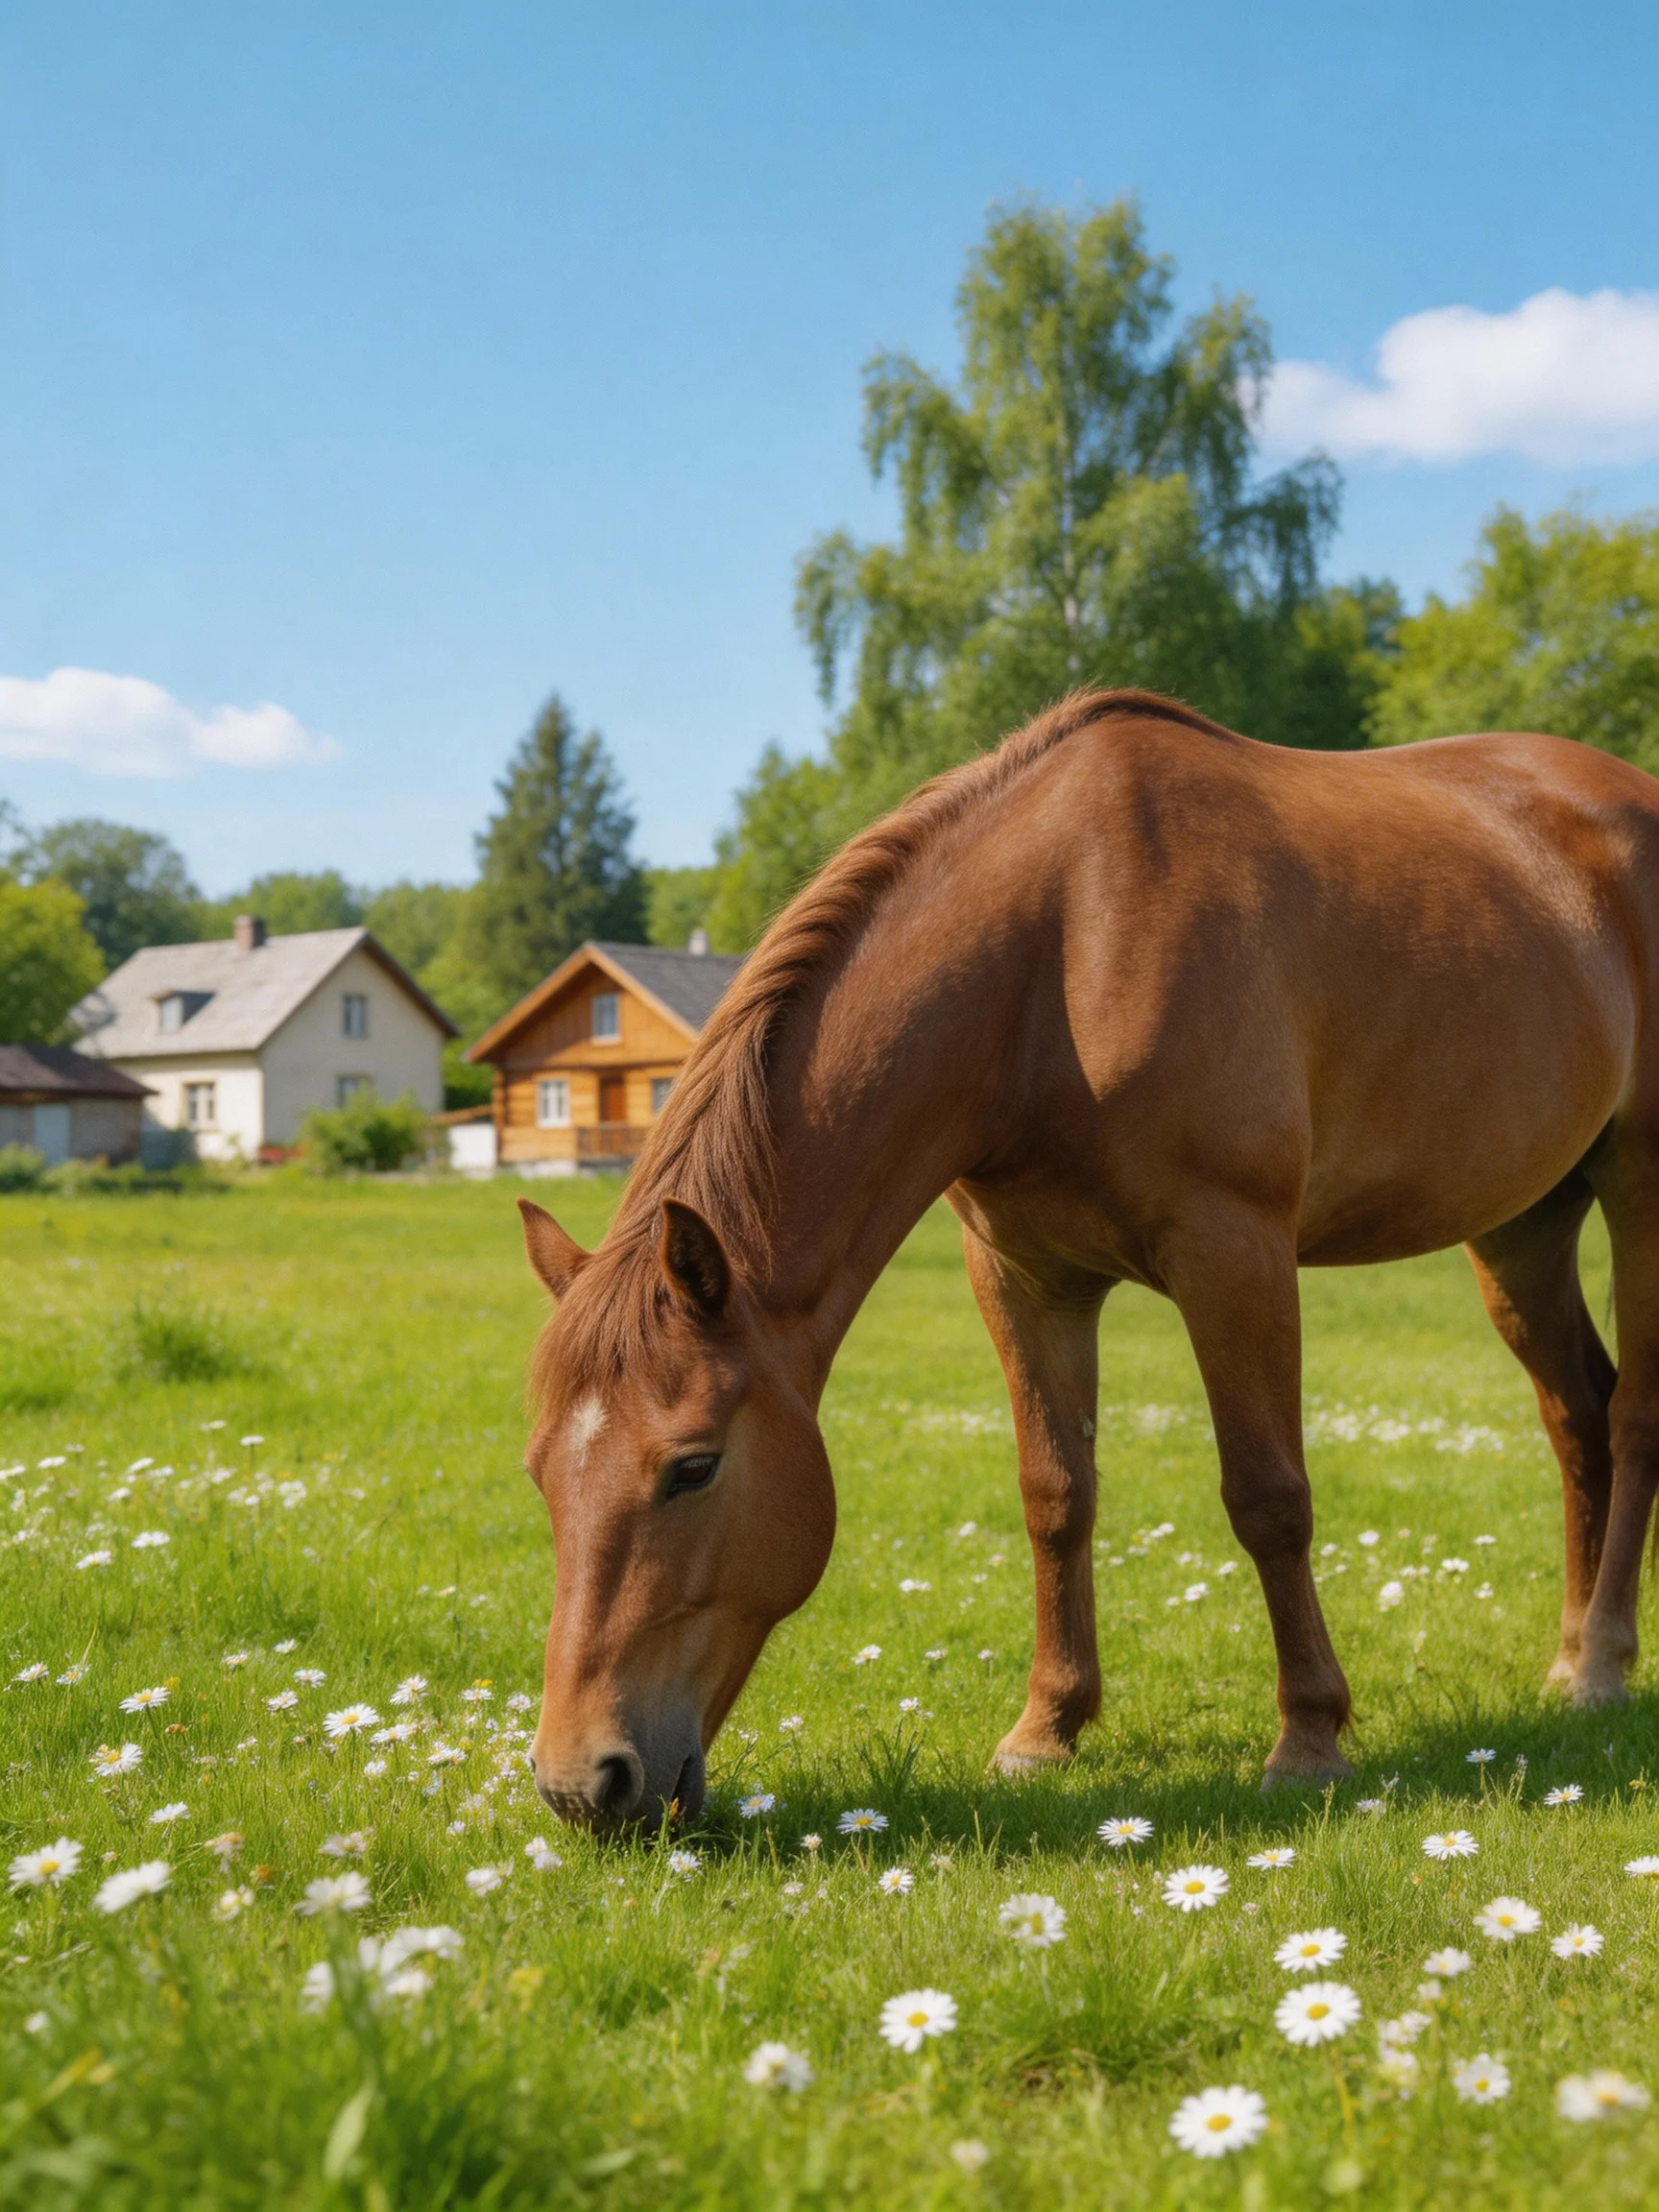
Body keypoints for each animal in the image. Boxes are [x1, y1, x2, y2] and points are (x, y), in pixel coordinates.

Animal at [516, 688, 1659, 1830]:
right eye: (537, 1472)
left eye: (693, 1467)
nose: (583, 1782)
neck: (1062, 952)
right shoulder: (1025, 1278)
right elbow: (1056, 1495)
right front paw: (1046, 1730)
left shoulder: (1233, 1252)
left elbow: (1269, 1497)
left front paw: (1309, 1737)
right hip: (1522, 1225)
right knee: (1576, 1416)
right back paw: (1567, 1663)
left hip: (1637, 1188)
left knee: (1631, 1416)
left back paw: (1603, 1666)